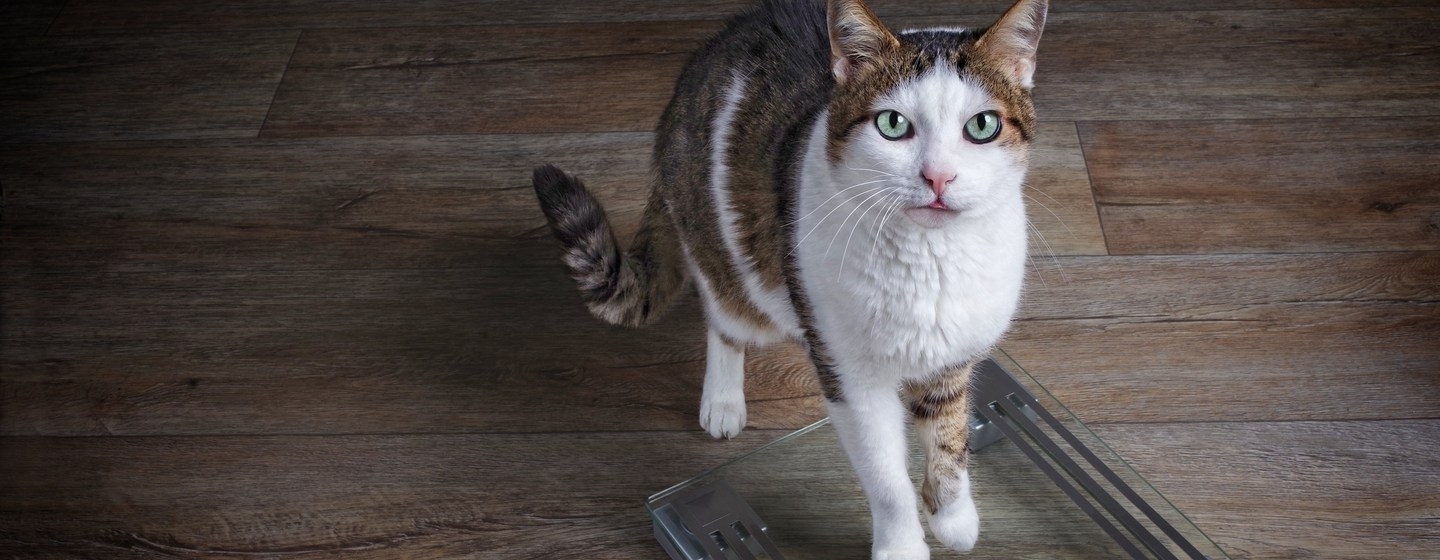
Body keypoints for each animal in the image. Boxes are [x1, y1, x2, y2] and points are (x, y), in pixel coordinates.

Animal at [535, 0, 1054, 552]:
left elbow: (950, 437)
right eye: (893, 124)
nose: (938, 176)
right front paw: (902, 546)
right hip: (735, 264)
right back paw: (723, 399)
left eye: (982, 126)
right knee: (724, 318)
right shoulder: (849, 374)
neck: (930, 260)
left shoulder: (954, 357)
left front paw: (953, 516)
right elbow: (885, 477)